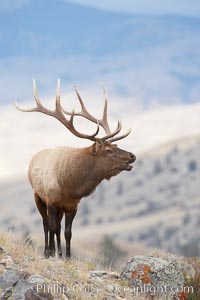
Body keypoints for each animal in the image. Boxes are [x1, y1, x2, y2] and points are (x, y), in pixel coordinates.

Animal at [14, 79, 136, 258]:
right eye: (108, 150)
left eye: (115, 145)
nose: (132, 155)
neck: (70, 186)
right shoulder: (51, 201)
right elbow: (52, 227)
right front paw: (51, 253)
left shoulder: (72, 206)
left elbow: (67, 232)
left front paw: (67, 256)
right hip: (37, 196)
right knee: (46, 224)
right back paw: (47, 251)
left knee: (57, 227)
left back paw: (58, 251)